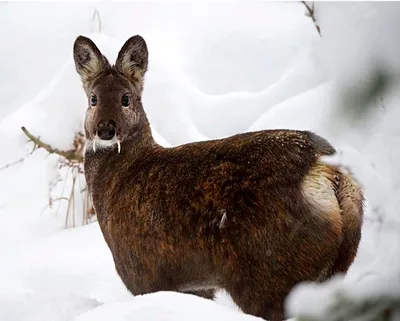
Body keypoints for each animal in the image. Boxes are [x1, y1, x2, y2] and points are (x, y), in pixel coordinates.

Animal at [72, 34, 366, 320]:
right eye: (93, 99)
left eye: (126, 98)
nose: (105, 130)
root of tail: (330, 171)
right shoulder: (194, 285)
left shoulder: (142, 269)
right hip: (333, 267)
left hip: (268, 271)